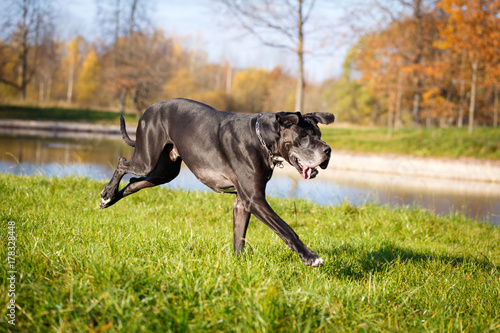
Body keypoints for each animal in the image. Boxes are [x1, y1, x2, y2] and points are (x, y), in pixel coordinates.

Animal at [99, 97, 334, 266]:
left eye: (319, 134)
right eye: (304, 136)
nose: (328, 150)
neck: (262, 138)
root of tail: (148, 110)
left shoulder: (242, 202)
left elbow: (239, 237)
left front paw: (237, 265)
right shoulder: (255, 199)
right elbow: (286, 229)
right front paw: (310, 256)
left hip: (163, 173)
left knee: (133, 182)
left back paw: (109, 200)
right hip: (147, 160)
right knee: (122, 163)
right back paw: (108, 193)